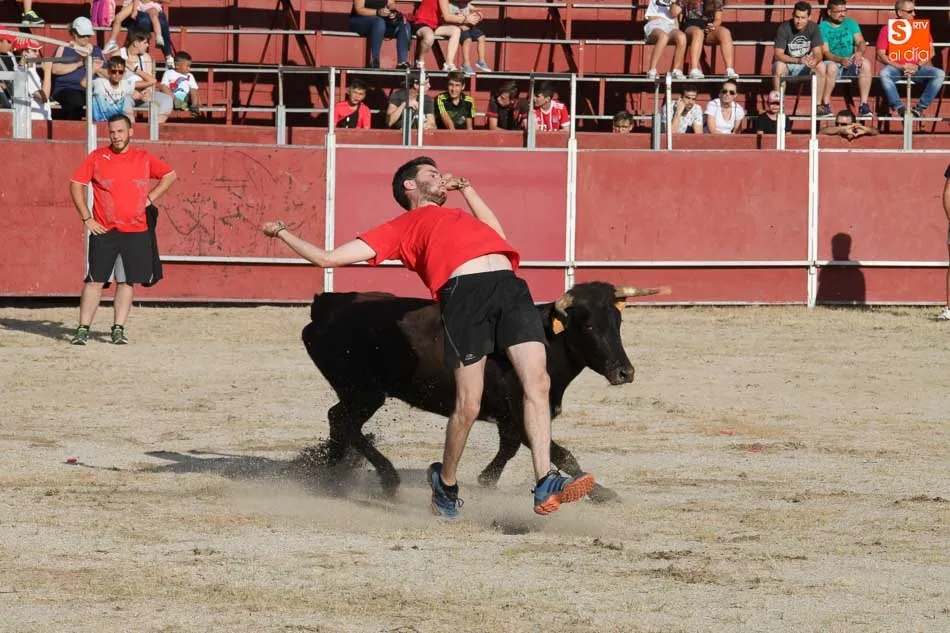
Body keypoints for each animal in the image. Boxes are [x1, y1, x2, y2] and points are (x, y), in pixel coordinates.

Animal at [301, 281, 664, 503]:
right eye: (588, 326)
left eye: (617, 324)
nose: (624, 372)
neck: (545, 342)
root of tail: (326, 306)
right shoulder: (522, 411)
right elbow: (559, 452)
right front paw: (601, 492)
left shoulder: (510, 417)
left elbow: (511, 447)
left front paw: (487, 480)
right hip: (364, 392)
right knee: (344, 421)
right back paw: (386, 479)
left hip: (359, 393)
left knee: (338, 421)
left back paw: (329, 473)